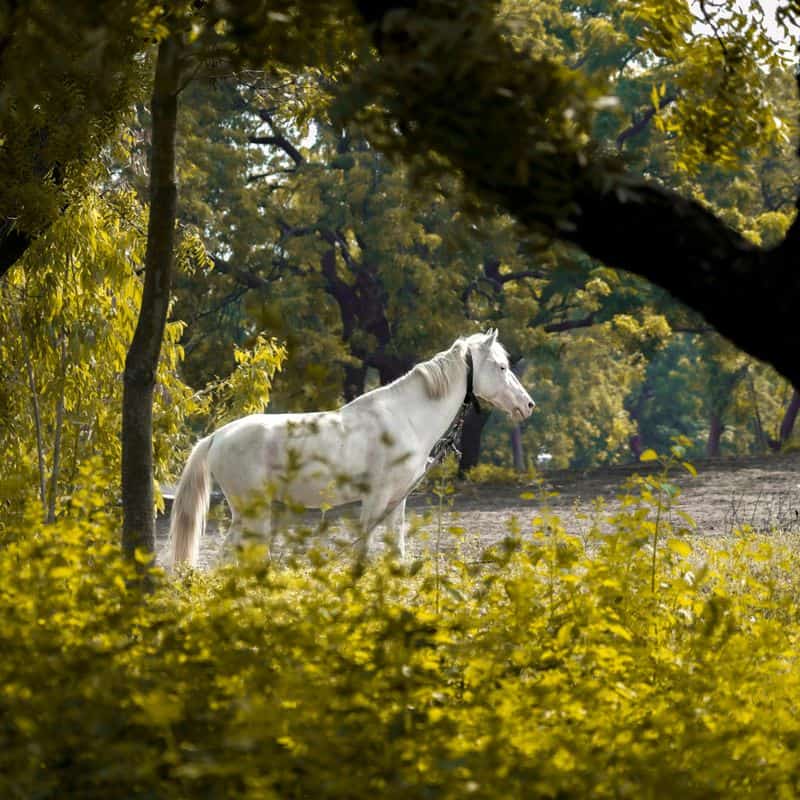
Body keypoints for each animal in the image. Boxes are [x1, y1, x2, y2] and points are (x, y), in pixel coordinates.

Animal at [166, 332, 536, 568]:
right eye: (501, 367)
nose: (528, 405)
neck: (406, 417)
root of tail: (218, 436)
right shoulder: (374, 499)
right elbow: (364, 550)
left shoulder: (396, 501)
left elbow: (395, 549)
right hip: (249, 511)